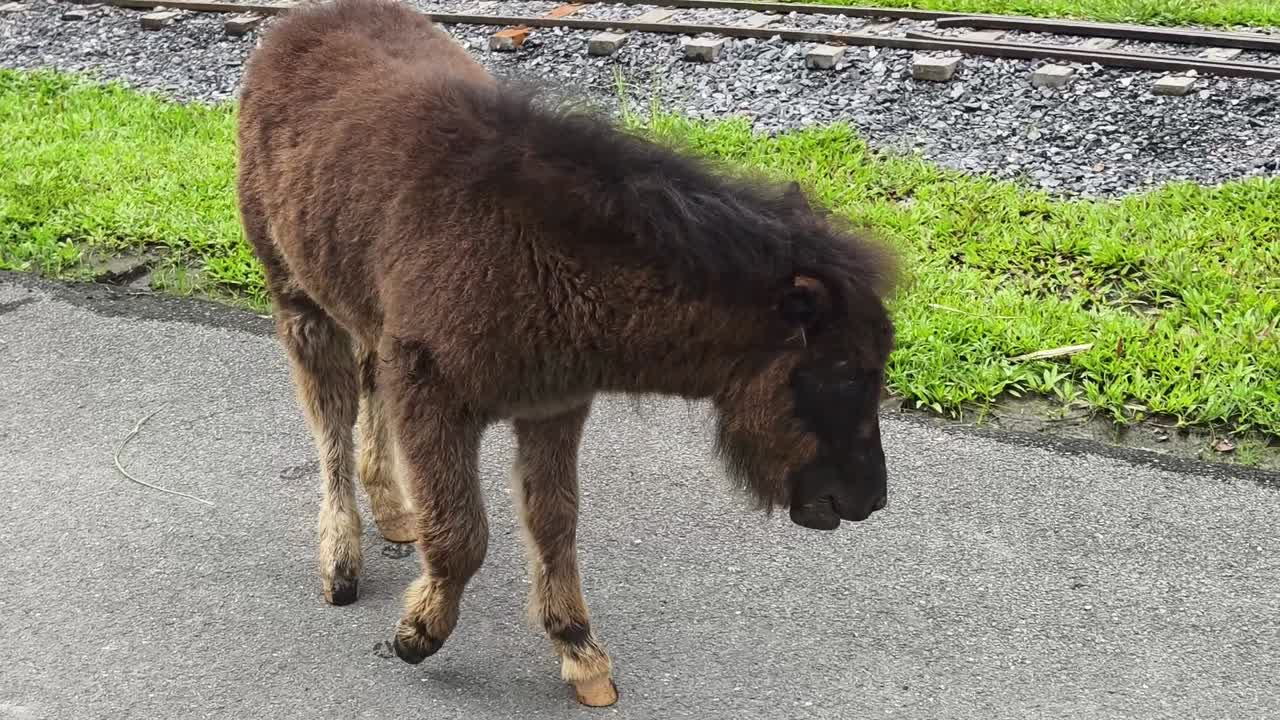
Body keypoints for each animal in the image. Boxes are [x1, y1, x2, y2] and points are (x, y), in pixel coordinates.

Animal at [236, 0, 898, 706]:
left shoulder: (550, 407)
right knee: (330, 420)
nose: (867, 499)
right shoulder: (433, 392)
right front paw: (419, 633)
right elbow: (463, 535)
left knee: (363, 391)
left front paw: (579, 650)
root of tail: (299, 25)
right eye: (842, 369)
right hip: (296, 296)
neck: (542, 256)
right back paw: (341, 561)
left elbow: (553, 523)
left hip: (357, 304)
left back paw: (391, 511)